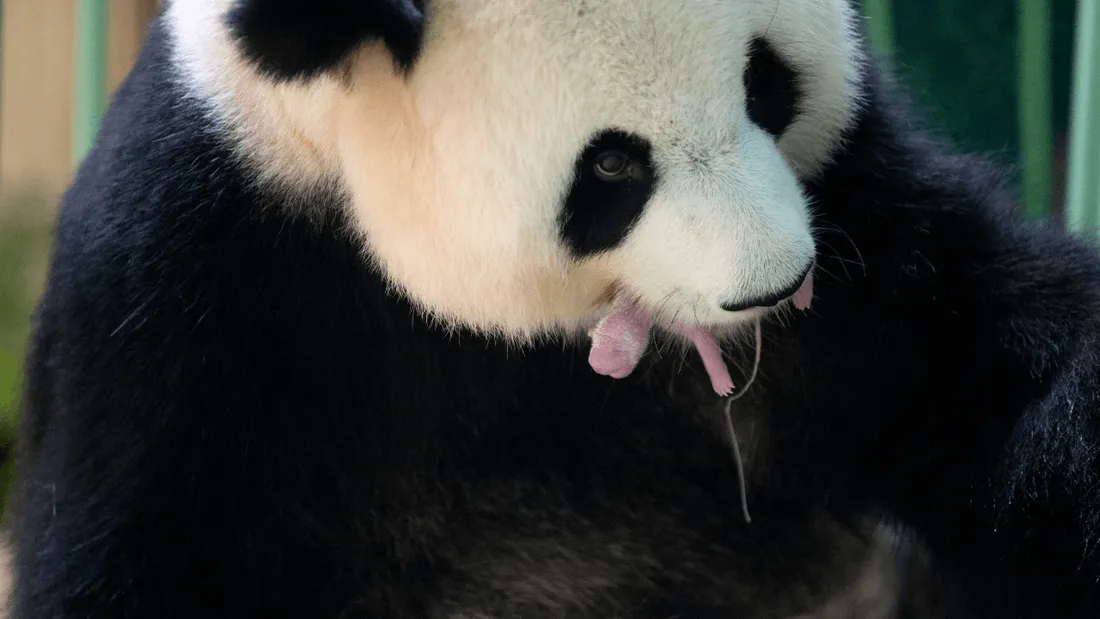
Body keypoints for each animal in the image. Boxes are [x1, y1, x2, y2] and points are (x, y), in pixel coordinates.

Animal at [8, 0, 1100, 616]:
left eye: (766, 83)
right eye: (612, 164)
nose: (773, 284)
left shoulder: (859, 222)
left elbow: (973, 373)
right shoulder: (191, 300)